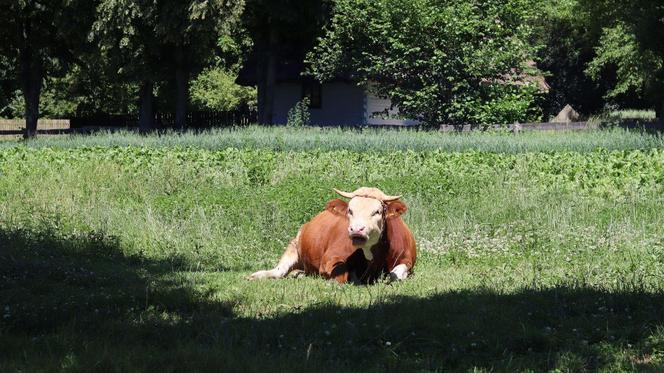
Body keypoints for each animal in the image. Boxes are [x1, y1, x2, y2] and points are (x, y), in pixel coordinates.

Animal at [249, 186, 416, 282]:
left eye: (377, 211)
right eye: (350, 210)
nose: (356, 229)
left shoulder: (407, 260)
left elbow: (395, 275)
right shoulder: (329, 258)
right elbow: (342, 274)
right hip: (293, 245)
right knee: (279, 271)